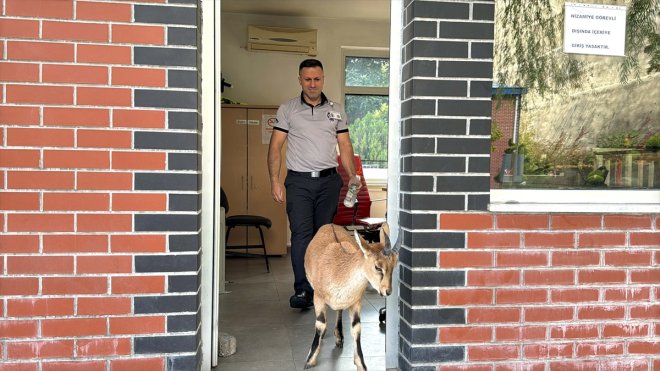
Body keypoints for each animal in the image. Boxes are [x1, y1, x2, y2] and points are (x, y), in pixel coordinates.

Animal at [302, 222, 398, 370]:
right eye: (377, 267)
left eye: (394, 264)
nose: (387, 291)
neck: (338, 271)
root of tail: (330, 224)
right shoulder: (318, 297)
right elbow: (320, 324)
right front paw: (310, 360)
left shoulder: (356, 301)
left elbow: (356, 328)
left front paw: (361, 365)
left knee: (339, 311)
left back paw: (339, 337)